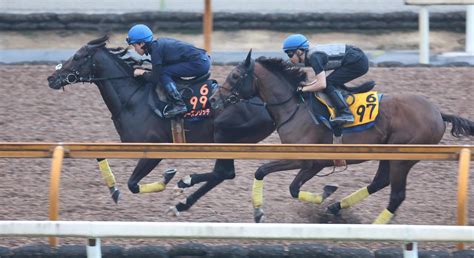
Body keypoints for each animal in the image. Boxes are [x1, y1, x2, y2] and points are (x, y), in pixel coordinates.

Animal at [47, 35, 278, 215]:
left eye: (77, 57)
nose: (51, 78)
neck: (133, 98)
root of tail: (265, 103)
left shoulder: (153, 150)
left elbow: (132, 184)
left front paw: (167, 177)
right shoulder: (128, 144)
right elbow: (98, 154)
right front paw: (113, 189)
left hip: (224, 136)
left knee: (224, 172)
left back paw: (185, 185)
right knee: (223, 173)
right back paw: (183, 200)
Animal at [209, 51, 472, 224]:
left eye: (235, 75)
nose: (213, 99)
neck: (295, 107)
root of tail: (438, 112)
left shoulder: (306, 160)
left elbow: (277, 179)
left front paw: (323, 193)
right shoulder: (314, 163)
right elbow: (277, 180)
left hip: (403, 157)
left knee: (396, 195)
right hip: (388, 154)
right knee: (379, 182)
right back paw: (337, 208)